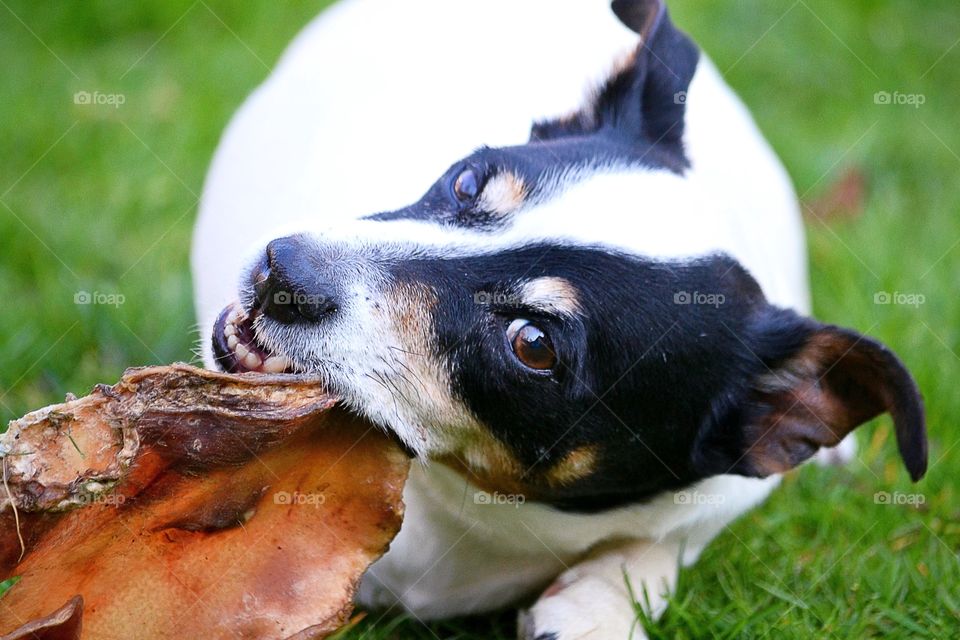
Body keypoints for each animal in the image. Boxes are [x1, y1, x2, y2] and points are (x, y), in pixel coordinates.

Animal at [193, 2, 924, 636]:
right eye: (467, 181)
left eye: (534, 345)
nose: (282, 269)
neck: (462, 506)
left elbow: (659, 547)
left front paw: (600, 604)